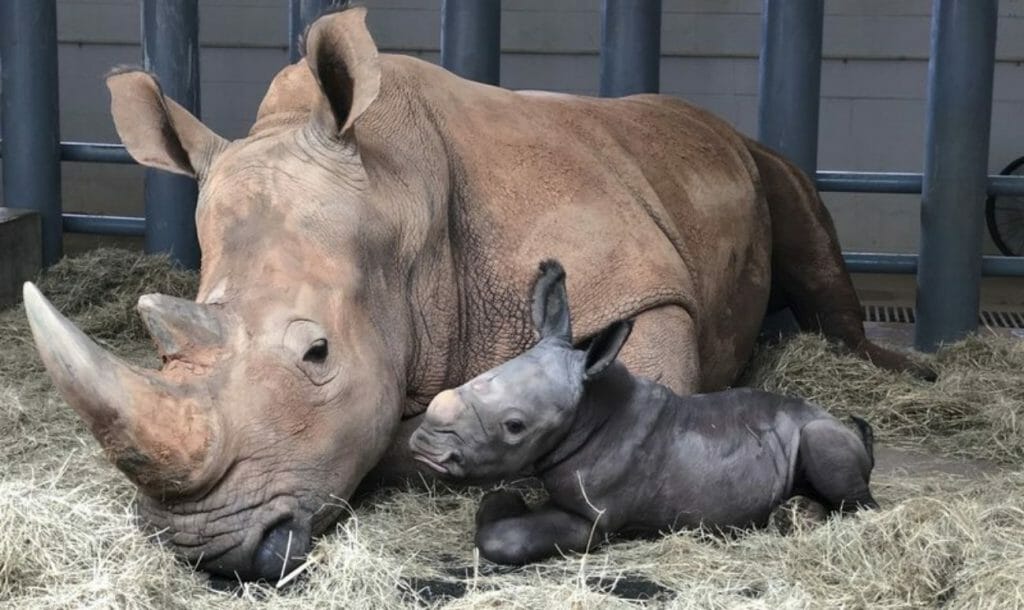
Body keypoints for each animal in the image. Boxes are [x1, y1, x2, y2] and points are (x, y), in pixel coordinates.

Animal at [411, 259, 876, 564]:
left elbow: (503, 539)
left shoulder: (594, 519)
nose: (422, 446)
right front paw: (507, 499)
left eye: (514, 426)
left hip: (819, 430)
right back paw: (790, 515)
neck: (588, 409)